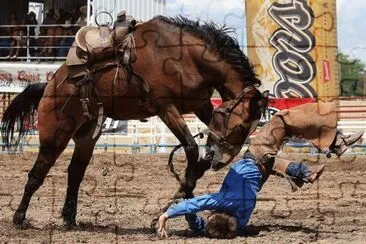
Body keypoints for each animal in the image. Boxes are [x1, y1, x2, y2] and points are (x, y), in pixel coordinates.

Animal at [2, 16, 264, 227]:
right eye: (241, 126)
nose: (220, 161)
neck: (184, 56)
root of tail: (50, 85)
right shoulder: (166, 107)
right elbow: (190, 148)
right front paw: (179, 195)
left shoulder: (201, 105)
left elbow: (197, 158)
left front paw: (185, 189)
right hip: (54, 135)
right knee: (37, 173)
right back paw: (19, 218)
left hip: (86, 137)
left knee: (75, 172)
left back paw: (69, 218)